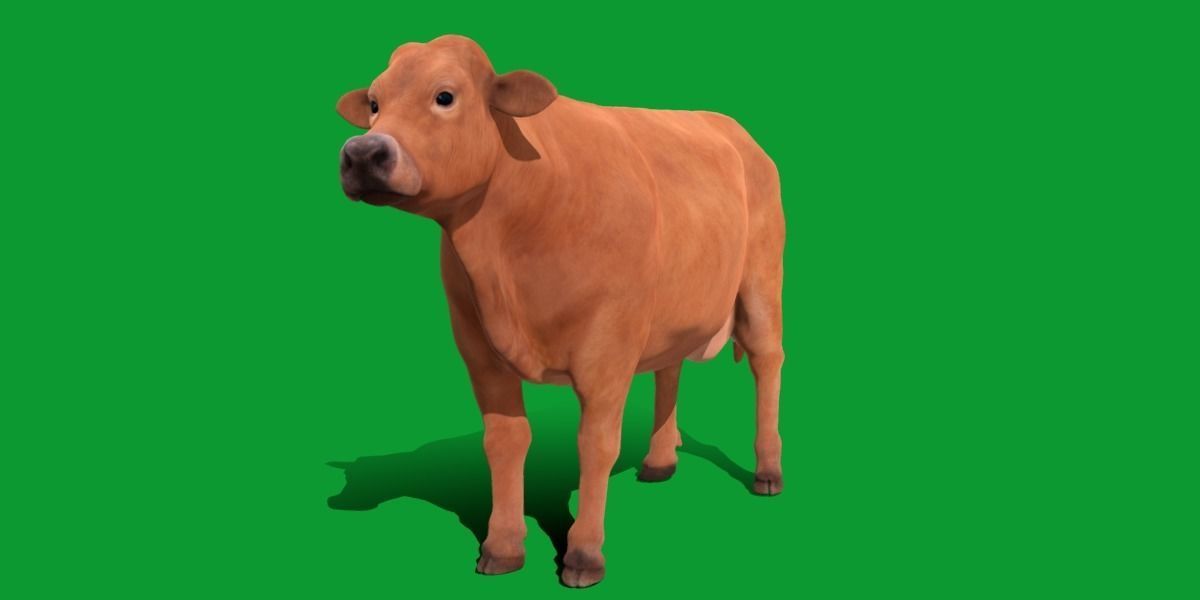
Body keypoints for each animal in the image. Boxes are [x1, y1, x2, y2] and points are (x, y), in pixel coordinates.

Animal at [335, 34, 785, 588]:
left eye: (445, 96)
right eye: (375, 104)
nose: (361, 152)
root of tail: (730, 127)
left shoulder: (607, 348)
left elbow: (596, 444)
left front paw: (584, 555)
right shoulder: (477, 346)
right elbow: (505, 441)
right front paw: (502, 548)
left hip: (761, 278)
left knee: (767, 360)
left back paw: (767, 471)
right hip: (672, 306)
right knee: (670, 367)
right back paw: (659, 461)